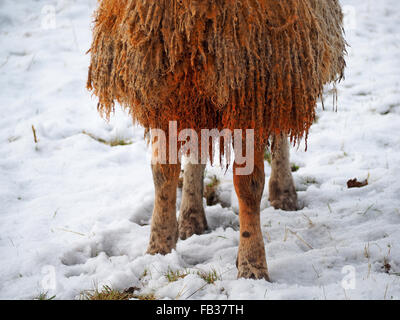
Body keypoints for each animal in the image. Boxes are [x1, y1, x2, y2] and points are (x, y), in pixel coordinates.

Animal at [86, 0, 344, 280]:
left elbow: (248, 184)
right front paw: (159, 247)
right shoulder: (164, 90)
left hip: (285, 68)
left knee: (280, 128)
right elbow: (162, 173)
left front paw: (252, 264)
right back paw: (191, 217)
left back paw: (284, 193)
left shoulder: (251, 92)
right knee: (196, 146)